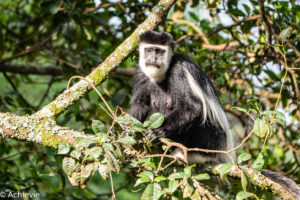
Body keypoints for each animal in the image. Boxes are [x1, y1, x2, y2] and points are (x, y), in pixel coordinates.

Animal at [129, 30, 234, 163]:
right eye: (149, 50)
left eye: (159, 51)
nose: (153, 58)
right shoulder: (141, 73)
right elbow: (140, 104)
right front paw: (127, 134)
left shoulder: (179, 71)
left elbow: (193, 107)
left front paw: (159, 132)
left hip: (213, 140)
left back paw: (185, 154)